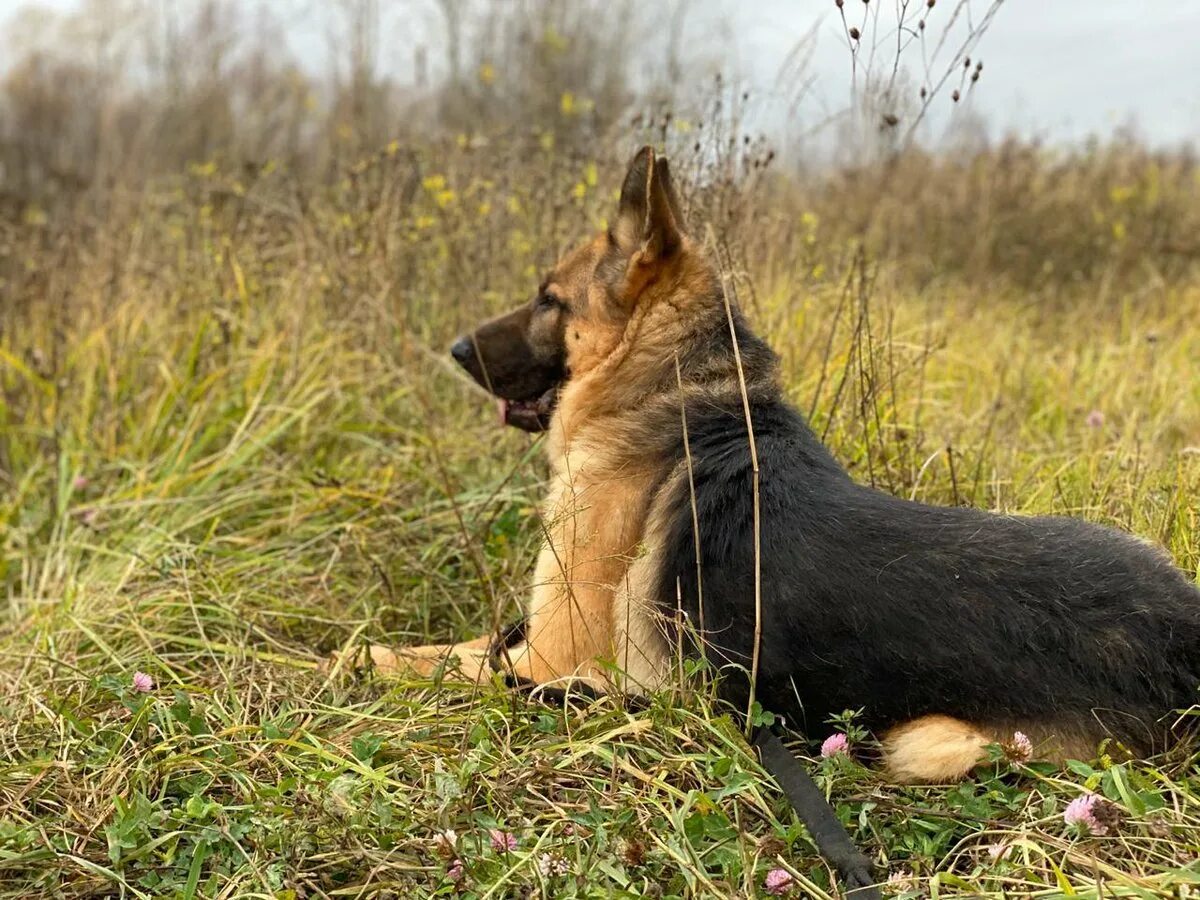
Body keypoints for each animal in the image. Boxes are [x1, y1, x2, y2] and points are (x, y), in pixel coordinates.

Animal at [369, 146, 1195, 787]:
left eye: (548, 299)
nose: (455, 351)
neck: (672, 394)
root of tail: (1184, 639)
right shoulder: (535, 646)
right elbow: (456, 646)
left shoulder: (549, 657)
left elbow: (437, 663)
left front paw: (355, 661)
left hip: (931, 742)